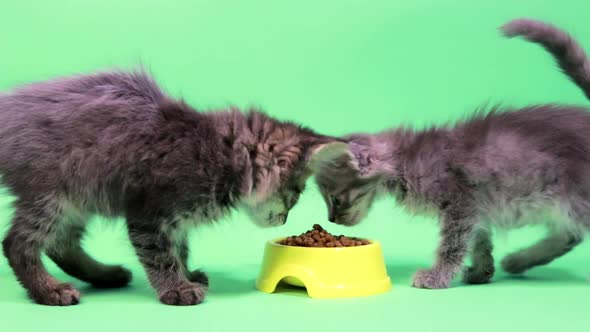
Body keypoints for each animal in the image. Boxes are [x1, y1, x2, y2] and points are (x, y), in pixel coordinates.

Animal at [0, 70, 344, 306]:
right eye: (295, 193)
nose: (285, 219)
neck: (216, 153)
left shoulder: (174, 221)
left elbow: (180, 248)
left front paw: (187, 275)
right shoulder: (148, 214)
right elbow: (161, 255)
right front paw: (176, 288)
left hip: (77, 200)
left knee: (61, 244)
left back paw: (106, 275)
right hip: (52, 195)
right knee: (17, 243)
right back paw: (50, 290)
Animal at [316, 18, 590, 288]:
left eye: (335, 199)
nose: (331, 220)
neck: (407, 161)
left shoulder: (461, 203)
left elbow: (453, 245)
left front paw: (435, 277)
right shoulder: (476, 206)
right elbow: (480, 240)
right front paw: (482, 272)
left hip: (576, 199)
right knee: (570, 235)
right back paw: (518, 261)